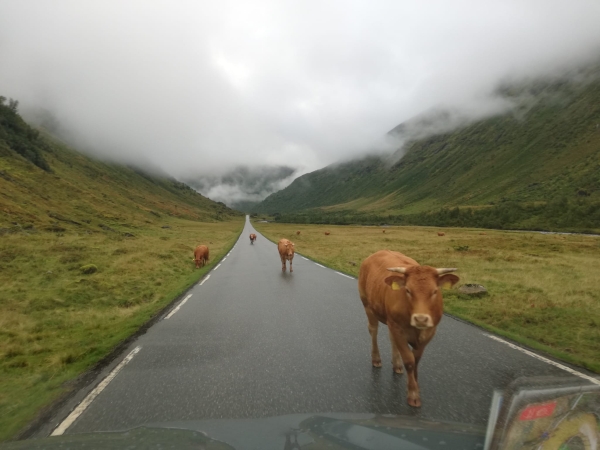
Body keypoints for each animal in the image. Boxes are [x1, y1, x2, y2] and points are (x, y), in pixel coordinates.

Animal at [356, 250, 460, 408]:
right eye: (408, 290)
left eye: (435, 291)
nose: (421, 319)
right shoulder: (397, 328)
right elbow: (409, 361)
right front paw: (413, 394)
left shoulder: (429, 332)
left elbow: (416, 360)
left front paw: (416, 385)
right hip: (368, 305)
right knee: (373, 330)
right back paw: (376, 359)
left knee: (391, 339)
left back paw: (397, 364)